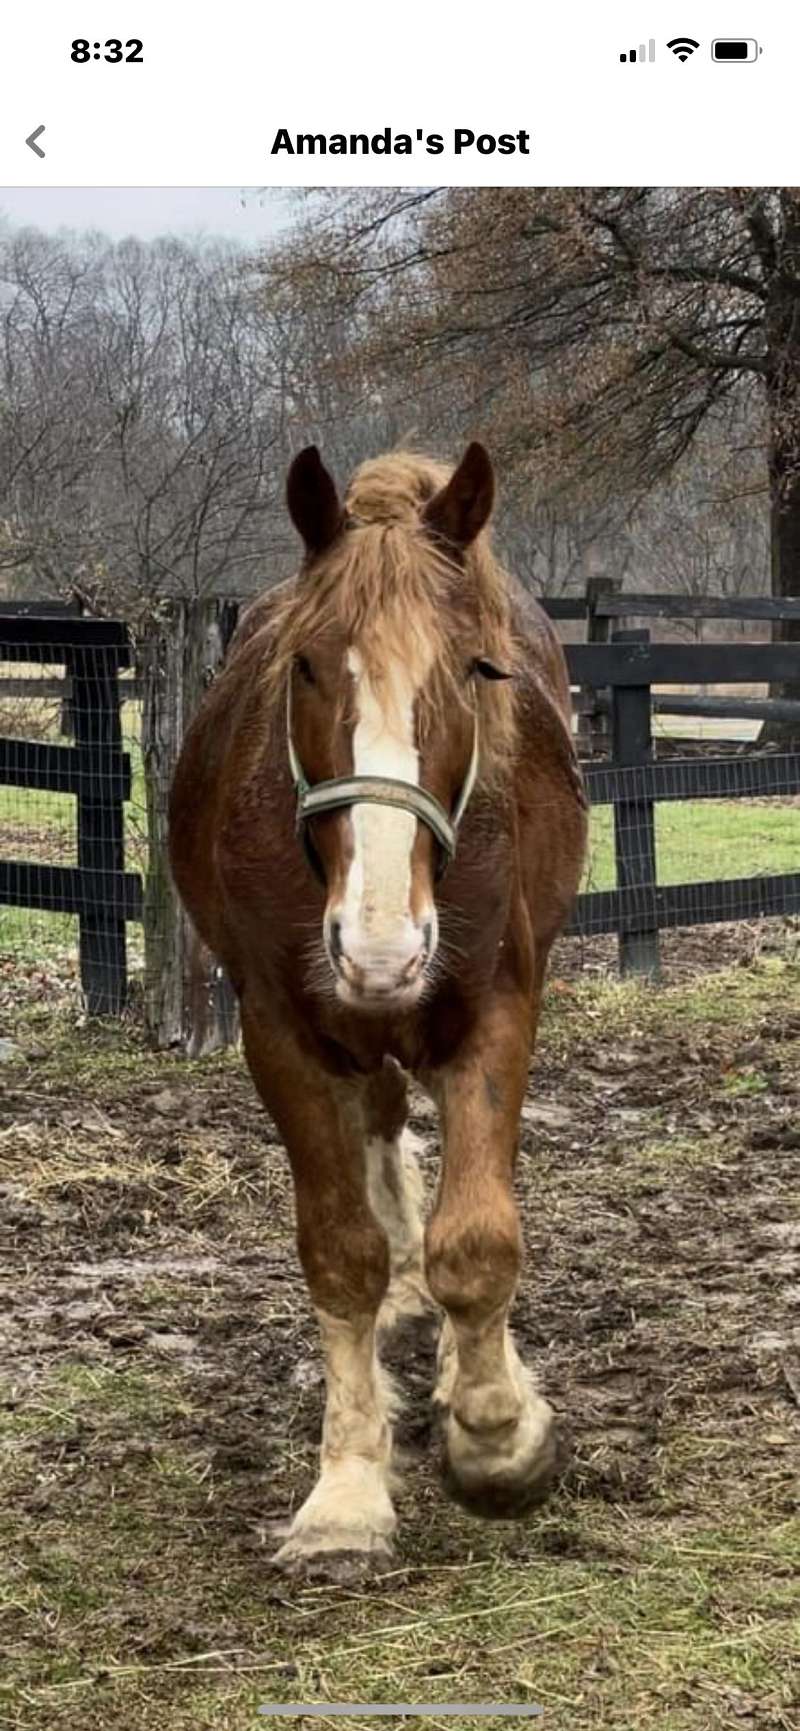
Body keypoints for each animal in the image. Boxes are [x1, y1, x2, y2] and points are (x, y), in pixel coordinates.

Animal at [168, 441, 588, 1576]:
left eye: (477, 669)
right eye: (308, 668)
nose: (381, 946)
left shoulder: (492, 1010)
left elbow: (478, 1237)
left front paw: (497, 1435)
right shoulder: (284, 1035)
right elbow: (341, 1252)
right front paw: (348, 1489)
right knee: (383, 1131)